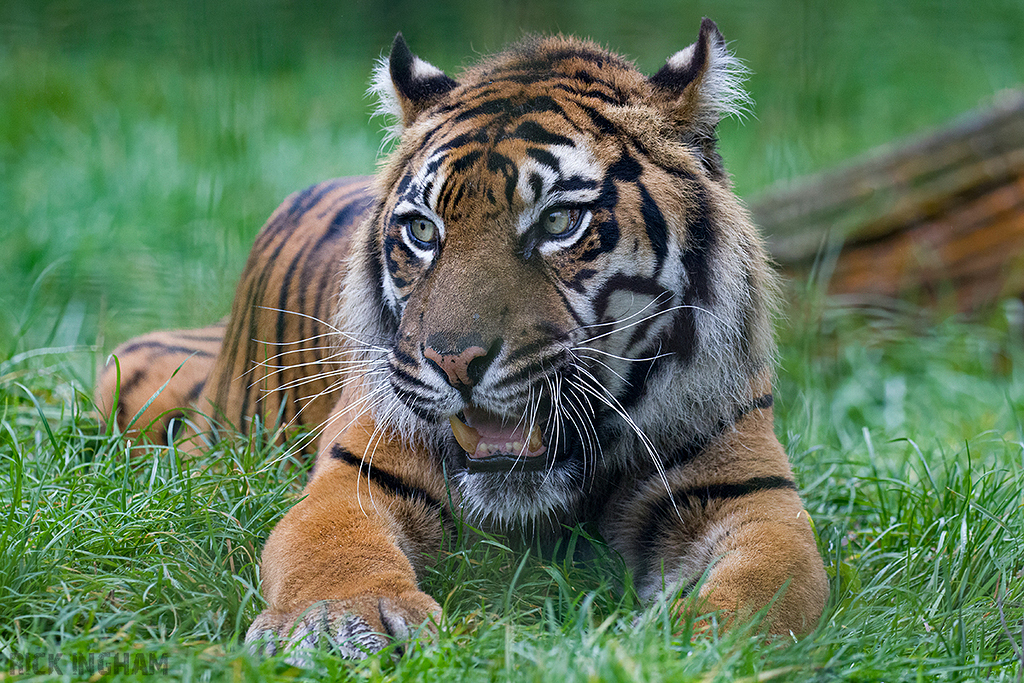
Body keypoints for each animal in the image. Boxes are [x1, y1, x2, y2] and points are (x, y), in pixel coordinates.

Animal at [96, 18, 828, 658]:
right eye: (423, 232)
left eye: (558, 221)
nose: (452, 361)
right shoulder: (352, 478)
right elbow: (331, 549)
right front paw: (337, 622)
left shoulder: (754, 498)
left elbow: (763, 589)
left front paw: (693, 644)